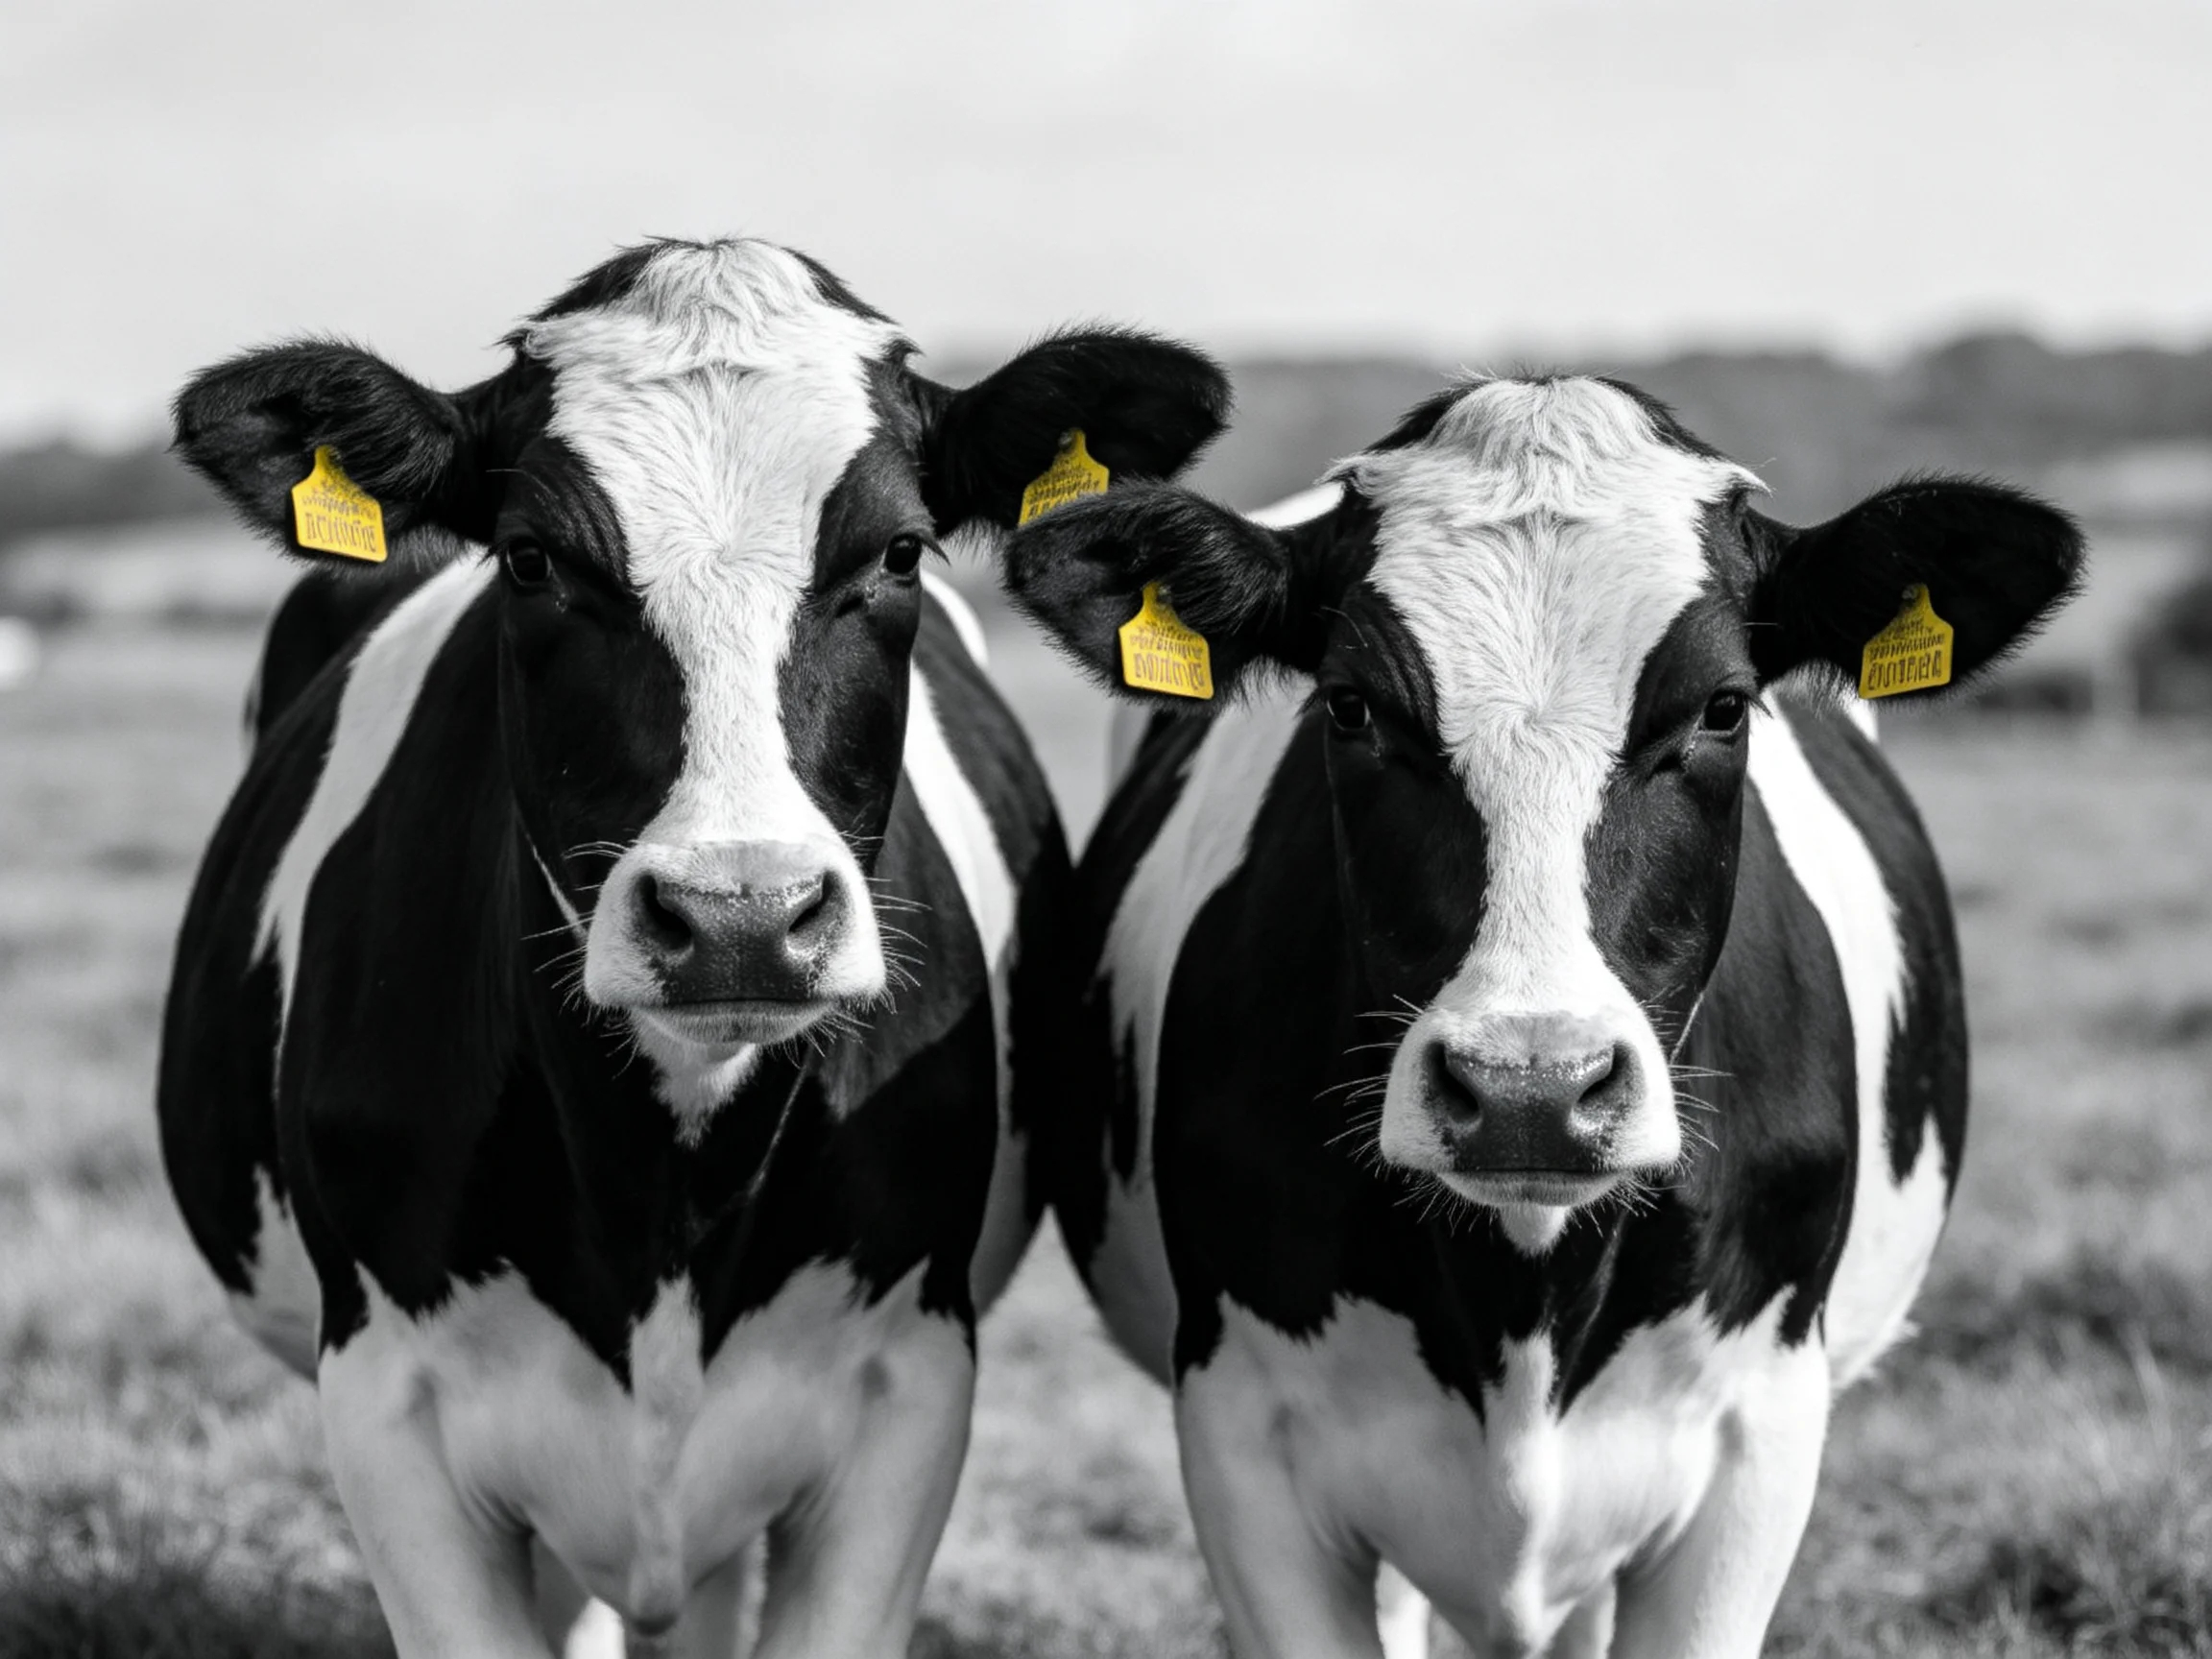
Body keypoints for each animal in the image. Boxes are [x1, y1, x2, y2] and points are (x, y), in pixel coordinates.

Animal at [157, 235, 1228, 1659]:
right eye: (530, 559)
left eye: (899, 552)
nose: (741, 917)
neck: (665, 1189)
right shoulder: (387, 1401)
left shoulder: (908, 1387)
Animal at [1002, 375, 2082, 1659]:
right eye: (1351, 707)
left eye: (1724, 708)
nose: (1532, 1091)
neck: (1522, 1295)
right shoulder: (1241, 1436)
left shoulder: (1757, 1437)